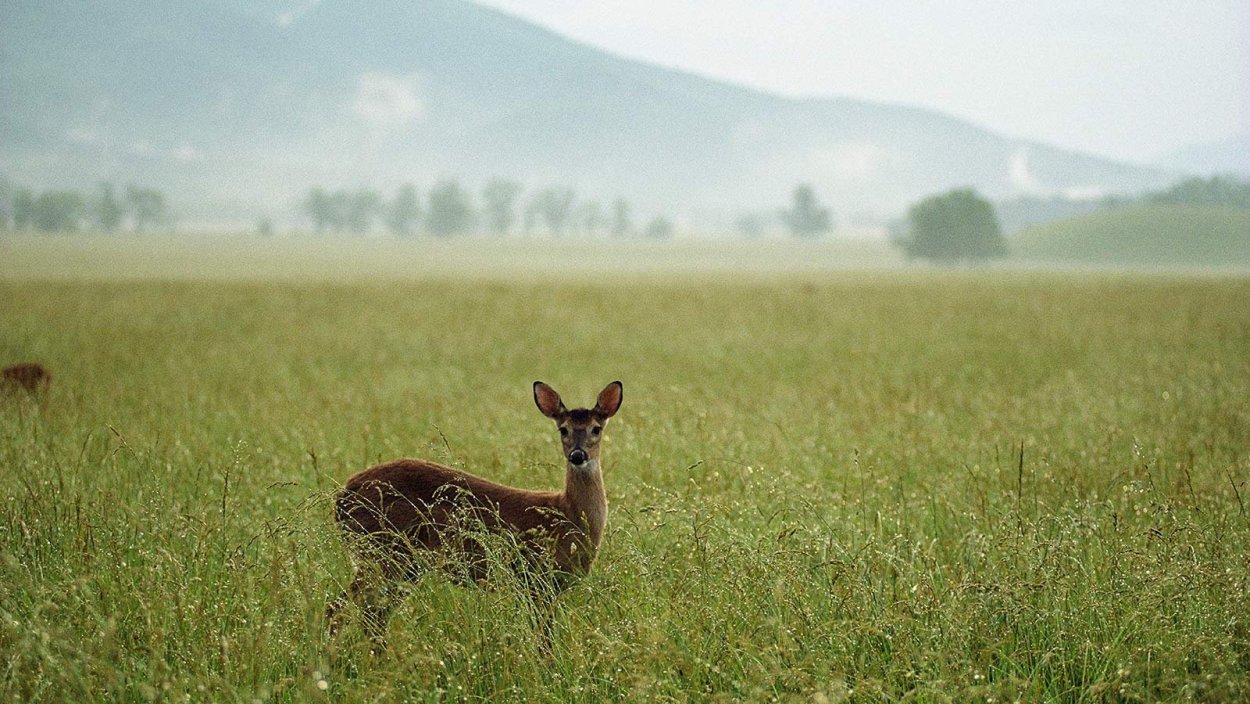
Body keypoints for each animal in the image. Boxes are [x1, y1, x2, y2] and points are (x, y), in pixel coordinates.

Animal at [327, 380, 625, 645]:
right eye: (563, 429)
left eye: (596, 429)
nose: (578, 455)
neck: (568, 516)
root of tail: (342, 497)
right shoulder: (537, 578)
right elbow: (544, 640)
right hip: (384, 552)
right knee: (342, 608)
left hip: (403, 563)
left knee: (372, 616)